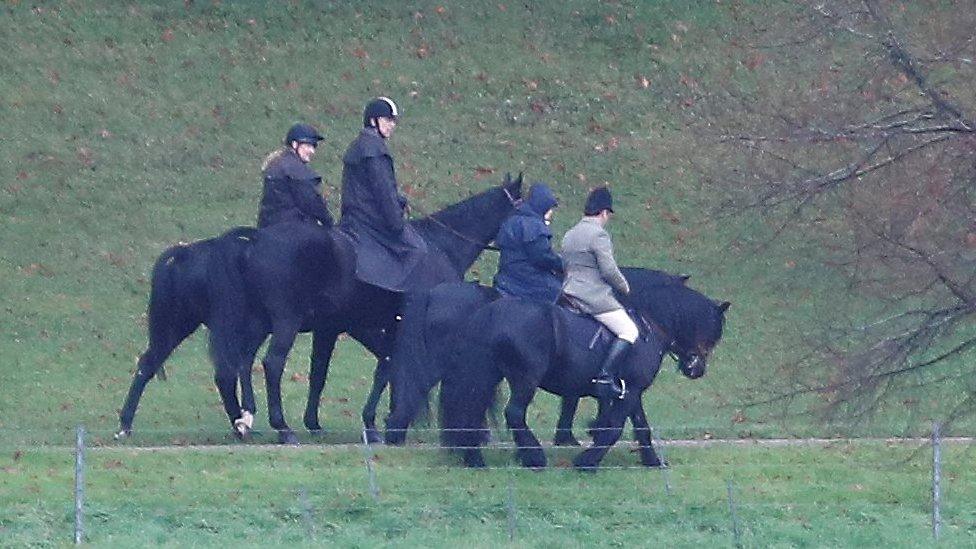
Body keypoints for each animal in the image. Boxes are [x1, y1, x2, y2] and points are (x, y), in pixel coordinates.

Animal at [118, 174, 524, 440]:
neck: (440, 246)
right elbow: (393, 367)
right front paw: (386, 420)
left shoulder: (341, 329)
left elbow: (330, 372)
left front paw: (332, 420)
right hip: (281, 320)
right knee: (268, 364)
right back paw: (279, 427)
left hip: (197, 324)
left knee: (172, 363)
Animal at [438, 280, 728, 468]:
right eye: (713, 330)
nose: (696, 369)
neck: (648, 328)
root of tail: (490, 312)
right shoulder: (631, 390)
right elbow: (614, 428)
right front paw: (587, 462)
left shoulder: (631, 391)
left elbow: (641, 426)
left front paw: (653, 461)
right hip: (525, 379)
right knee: (514, 414)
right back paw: (534, 457)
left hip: (488, 376)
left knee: (472, 412)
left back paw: (475, 459)